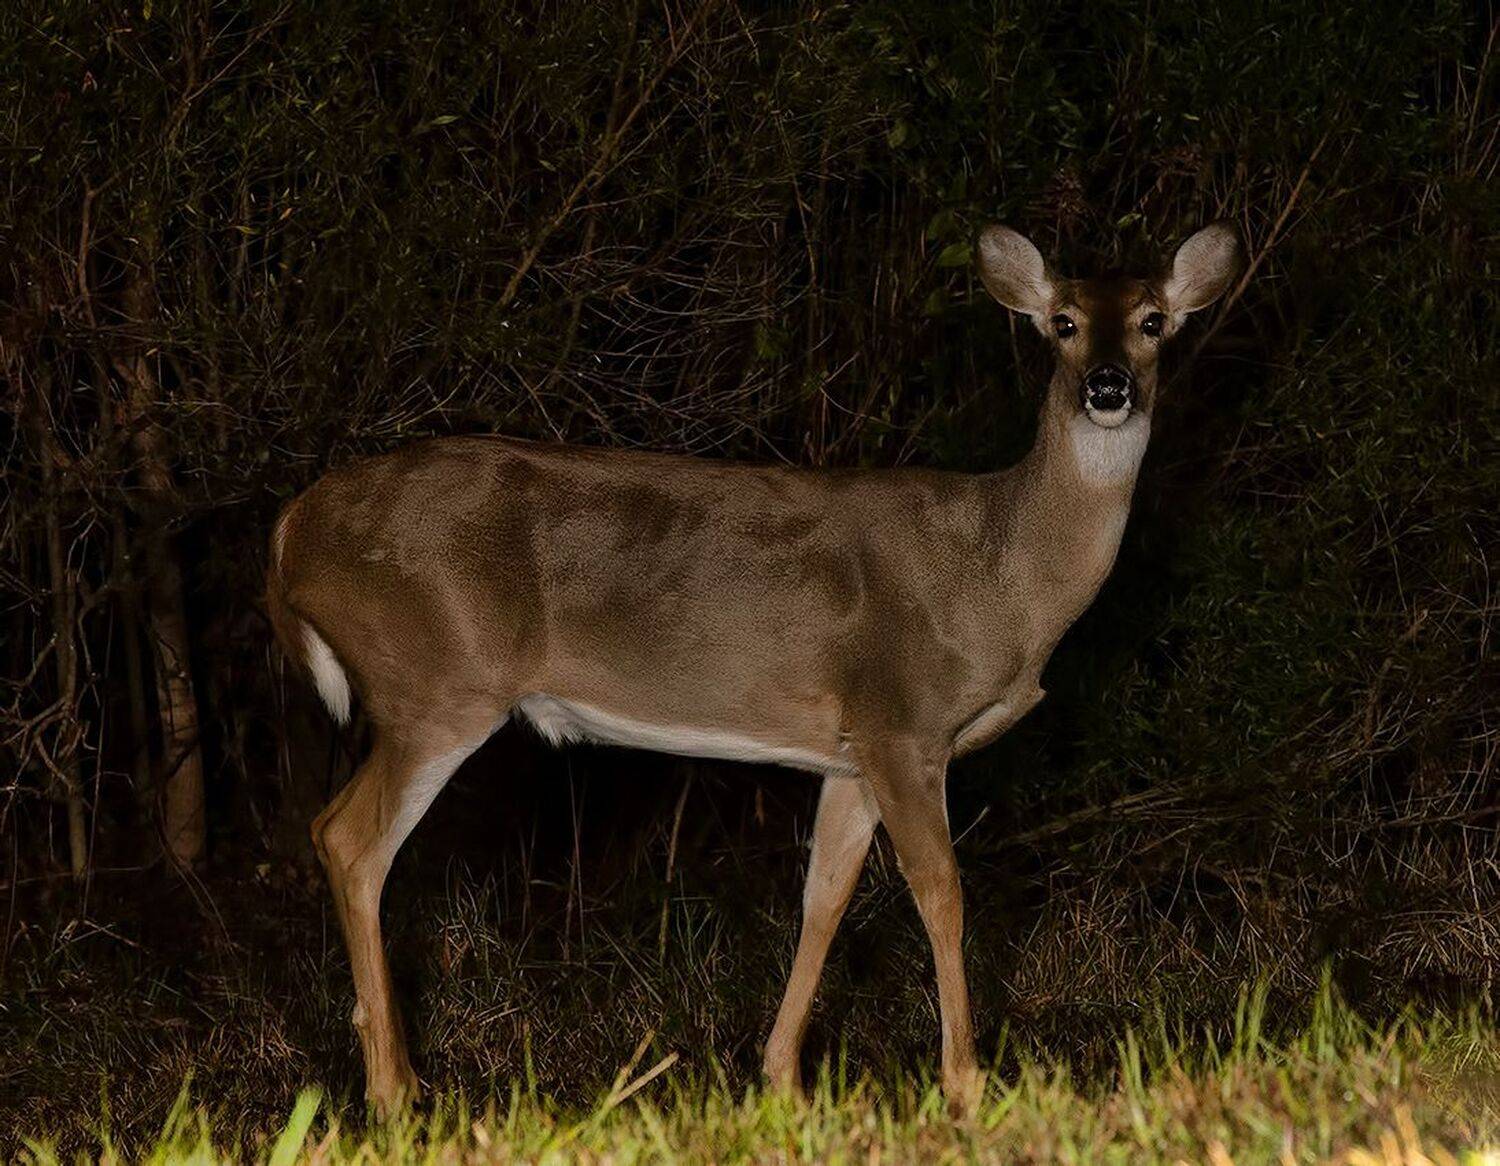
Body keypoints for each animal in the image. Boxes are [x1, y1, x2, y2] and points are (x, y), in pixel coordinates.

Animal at [265, 221, 1242, 1118]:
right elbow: (942, 892)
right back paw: (394, 1093)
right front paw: (966, 1082)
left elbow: (824, 897)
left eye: (1153, 322)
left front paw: (782, 1079)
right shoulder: (903, 717)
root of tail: (291, 532)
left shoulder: (851, 752)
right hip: (436, 680)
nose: (1107, 388)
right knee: (348, 839)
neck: (999, 574)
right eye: (1063, 323)